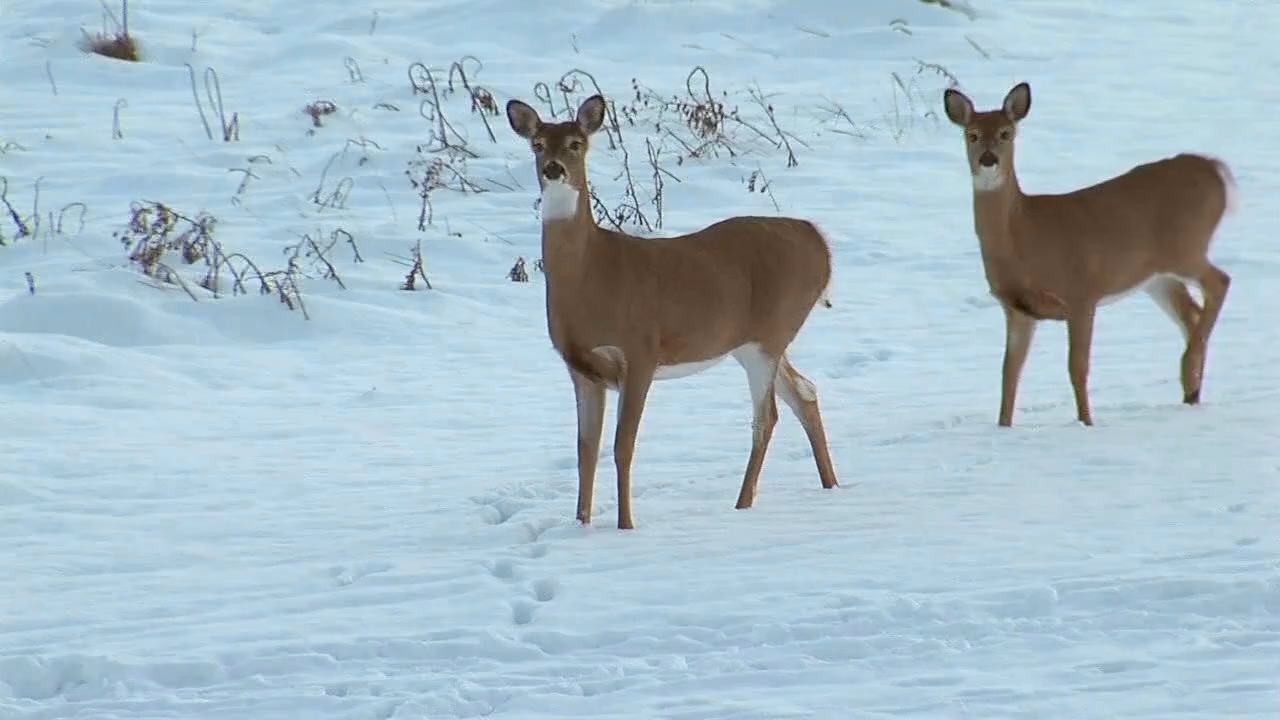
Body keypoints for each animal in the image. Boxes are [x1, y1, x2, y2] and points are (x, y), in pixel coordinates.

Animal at [504, 93, 840, 530]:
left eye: (577, 143)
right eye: (538, 144)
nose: (553, 168)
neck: (591, 276)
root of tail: (819, 242)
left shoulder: (640, 351)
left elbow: (622, 446)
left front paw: (625, 526)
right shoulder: (581, 368)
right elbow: (585, 450)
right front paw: (581, 525)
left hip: (771, 332)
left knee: (767, 417)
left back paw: (743, 504)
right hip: (753, 340)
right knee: (804, 392)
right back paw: (829, 484)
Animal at [942, 81, 1235, 428]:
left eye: (1006, 133)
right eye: (971, 135)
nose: (988, 160)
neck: (1024, 236)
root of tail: (1215, 169)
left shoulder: (1081, 291)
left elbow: (1077, 367)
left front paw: (1086, 422)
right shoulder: (1017, 308)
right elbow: (1009, 372)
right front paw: (1004, 426)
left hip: (1186, 246)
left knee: (1220, 282)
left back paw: (1188, 371)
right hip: (1157, 277)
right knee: (1192, 313)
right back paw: (1191, 392)